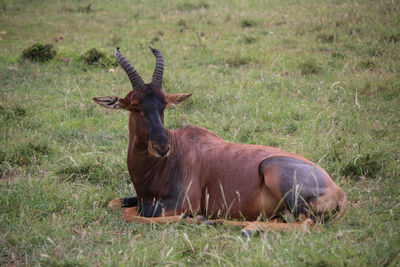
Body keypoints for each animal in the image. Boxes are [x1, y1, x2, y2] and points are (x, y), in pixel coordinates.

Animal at [94, 47, 346, 236]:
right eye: (135, 105)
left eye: (163, 104)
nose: (162, 146)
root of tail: (339, 191)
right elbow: (115, 203)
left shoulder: (182, 202)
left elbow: (134, 213)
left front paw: (194, 219)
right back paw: (228, 223)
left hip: (274, 172)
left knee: (307, 224)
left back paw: (237, 226)